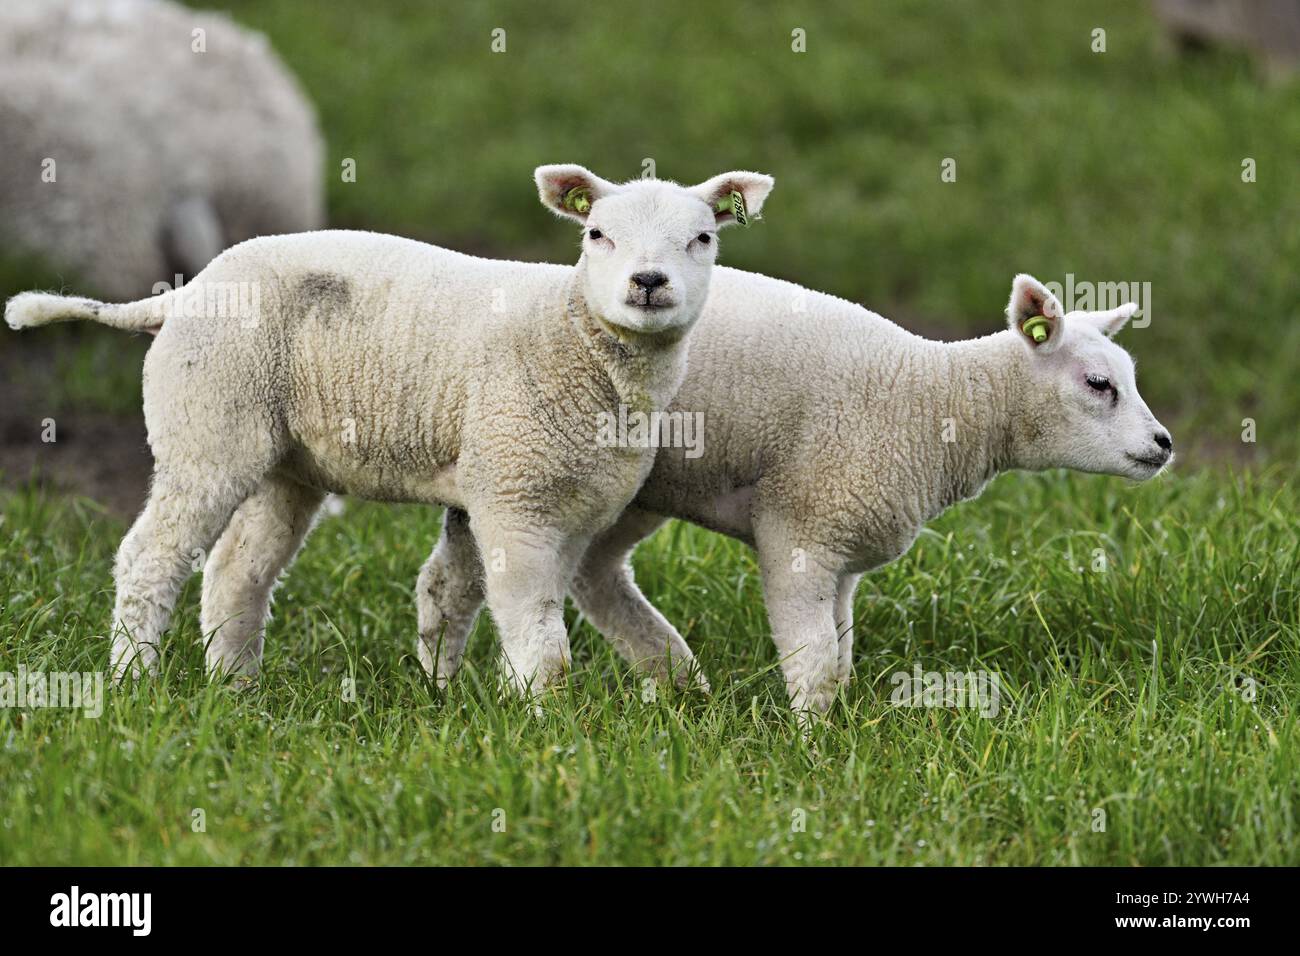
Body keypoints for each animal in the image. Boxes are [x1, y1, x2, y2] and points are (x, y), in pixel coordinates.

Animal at [4, 164, 775, 695]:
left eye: (704, 238)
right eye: (596, 235)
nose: (648, 282)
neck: (574, 339)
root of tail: (186, 292)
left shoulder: (535, 497)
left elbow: (466, 598)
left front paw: (467, 699)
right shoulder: (515, 491)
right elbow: (538, 636)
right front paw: (546, 723)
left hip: (283, 460)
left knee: (236, 572)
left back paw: (236, 691)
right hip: (208, 422)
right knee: (150, 557)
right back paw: (133, 681)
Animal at [420, 272, 1173, 714]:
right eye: (1098, 383)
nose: (1164, 445)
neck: (934, 401)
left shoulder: (845, 552)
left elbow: (839, 652)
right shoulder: (805, 525)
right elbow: (816, 664)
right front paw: (813, 747)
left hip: (606, 487)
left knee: (501, 576)